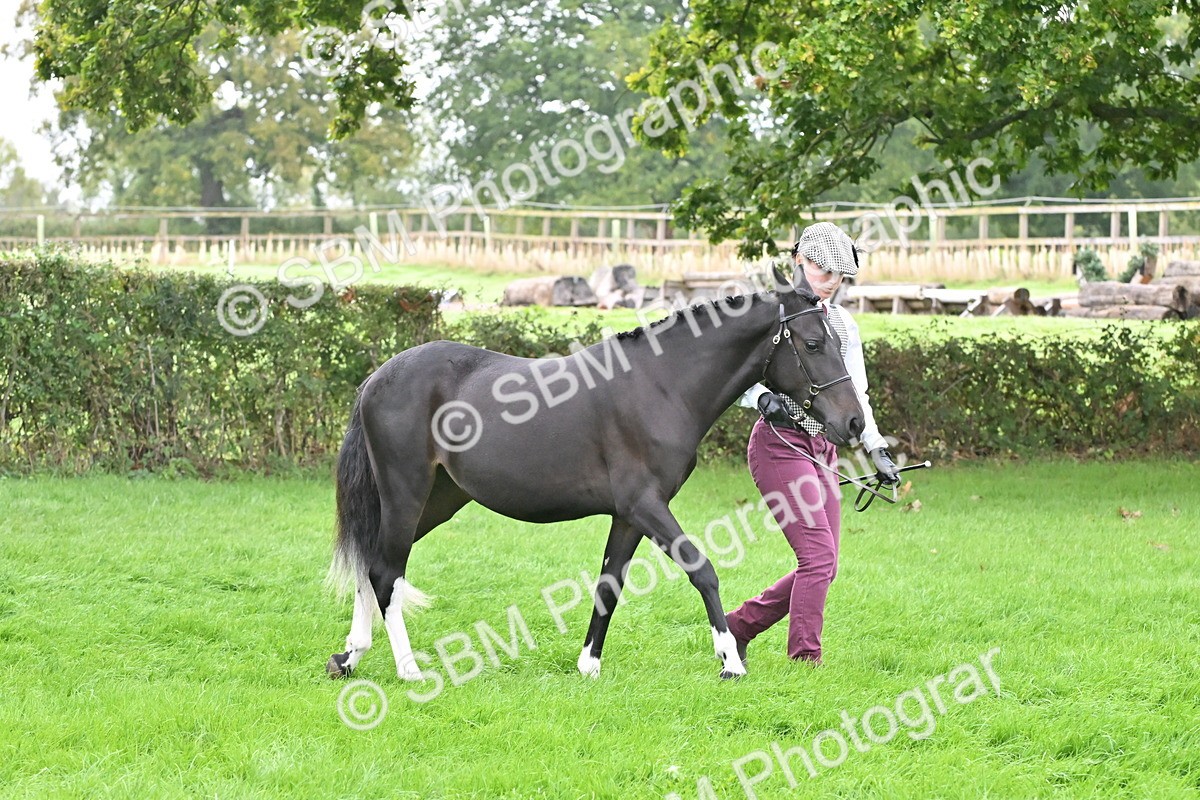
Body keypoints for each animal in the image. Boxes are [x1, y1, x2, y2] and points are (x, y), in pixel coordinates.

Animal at [326, 266, 865, 681]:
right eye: (813, 343)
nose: (854, 423)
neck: (660, 385)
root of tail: (376, 379)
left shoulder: (628, 517)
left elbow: (610, 583)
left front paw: (589, 665)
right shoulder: (645, 505)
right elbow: (702, 569)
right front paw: (730, 660)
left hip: (437, 500)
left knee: (373, 562)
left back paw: (350, 655)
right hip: (406, 493)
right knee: (386, 572)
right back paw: (408, 669)